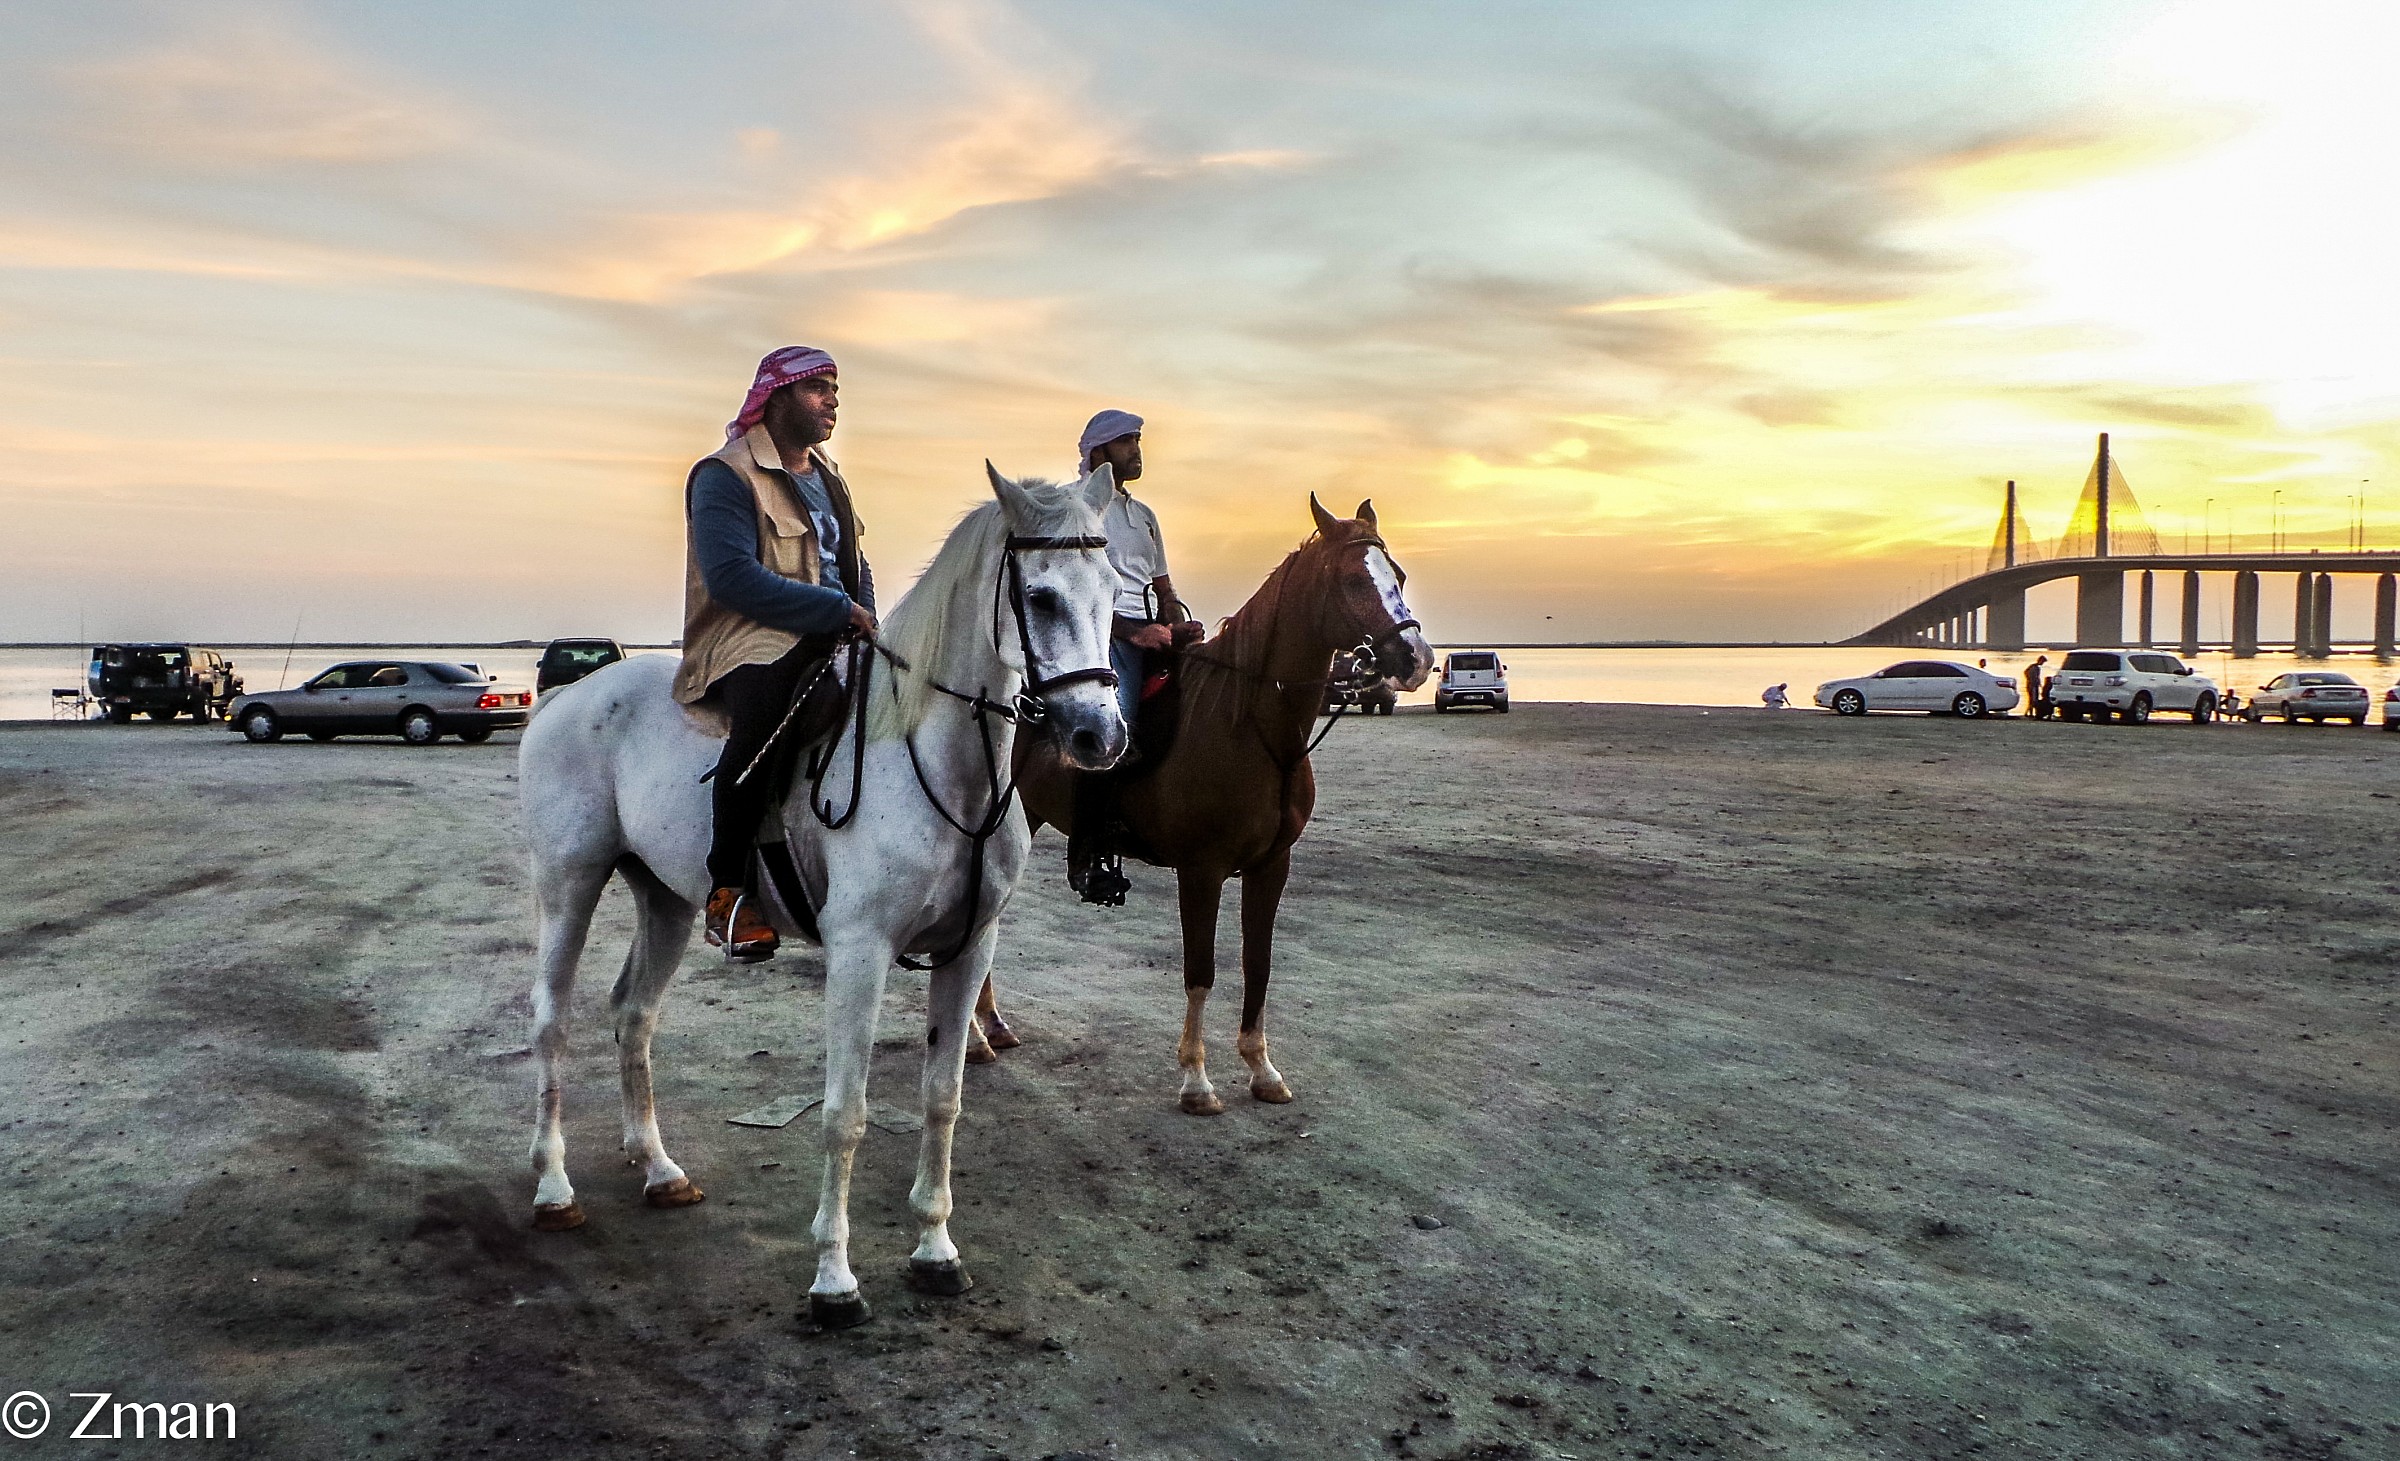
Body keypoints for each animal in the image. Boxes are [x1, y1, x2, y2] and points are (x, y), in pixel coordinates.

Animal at [516, 462, 1126, 1328]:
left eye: (1113, 588)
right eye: (1039, 596)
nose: (1099, 736)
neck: (940, 767)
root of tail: (567, 696)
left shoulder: (970, 949)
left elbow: (943, 1098)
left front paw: (935, 1250)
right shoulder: (860, 952)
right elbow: (845, 1114)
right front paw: (834, 1278)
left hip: (665, 899)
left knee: (633, 1015)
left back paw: (659, 1169)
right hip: (569, 882)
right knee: (552, 1021)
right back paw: (554, 1186)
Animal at [998, 495, 1433, 1113]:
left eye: (1397, 574)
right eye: (1352, 579)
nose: (1416, 658)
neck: (1251, 726)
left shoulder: (1271, 866)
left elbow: (1258, 963)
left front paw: (1261, 1068)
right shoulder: (1200, 871)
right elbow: (1200, 969)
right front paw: (1196, 1080)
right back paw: (980, 1034)